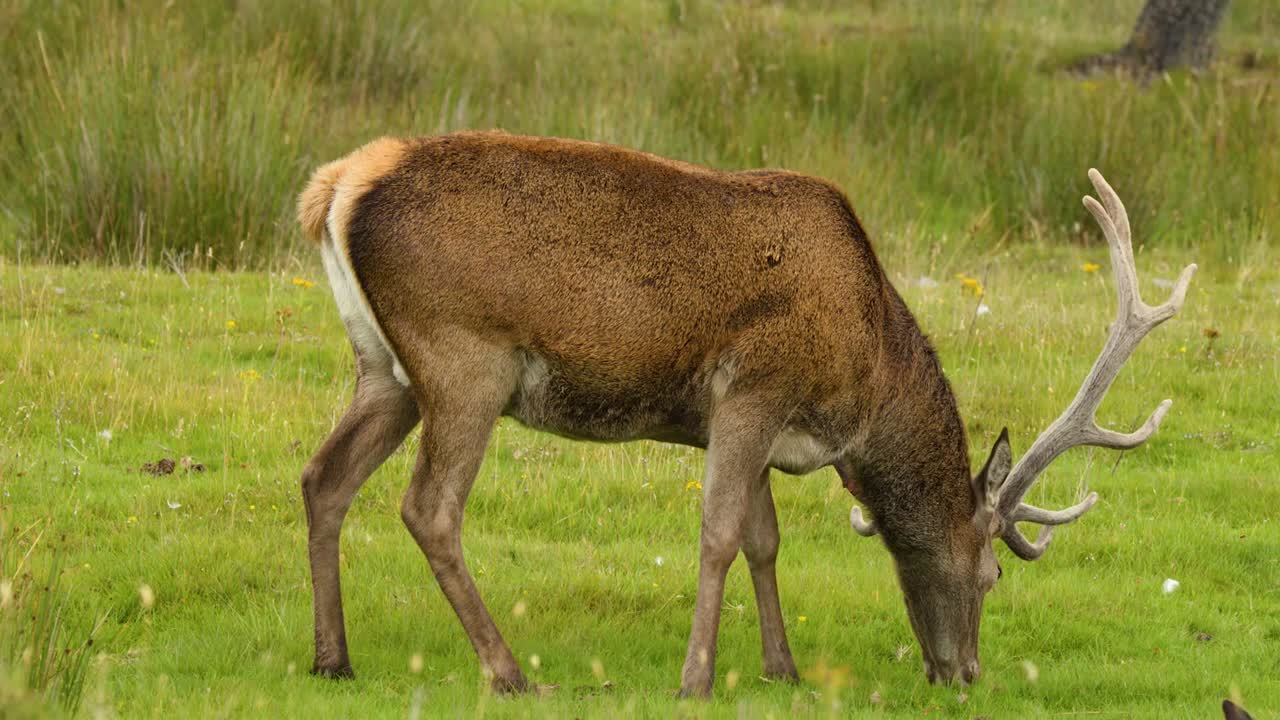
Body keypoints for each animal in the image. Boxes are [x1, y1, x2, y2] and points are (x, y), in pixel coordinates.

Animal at [295, 131, 1194, 697]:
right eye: (993, 575)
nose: (965, 674)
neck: (864, 380)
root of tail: (335, 188)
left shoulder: (758, 424)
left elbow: (764, 539)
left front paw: (781, 667)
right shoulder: (752, 391)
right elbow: (721, 533)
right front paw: (696, 679)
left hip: (384, 369)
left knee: (322, 478)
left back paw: (333, 660)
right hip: (464, 359)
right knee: (429, 508)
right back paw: (514, 674)